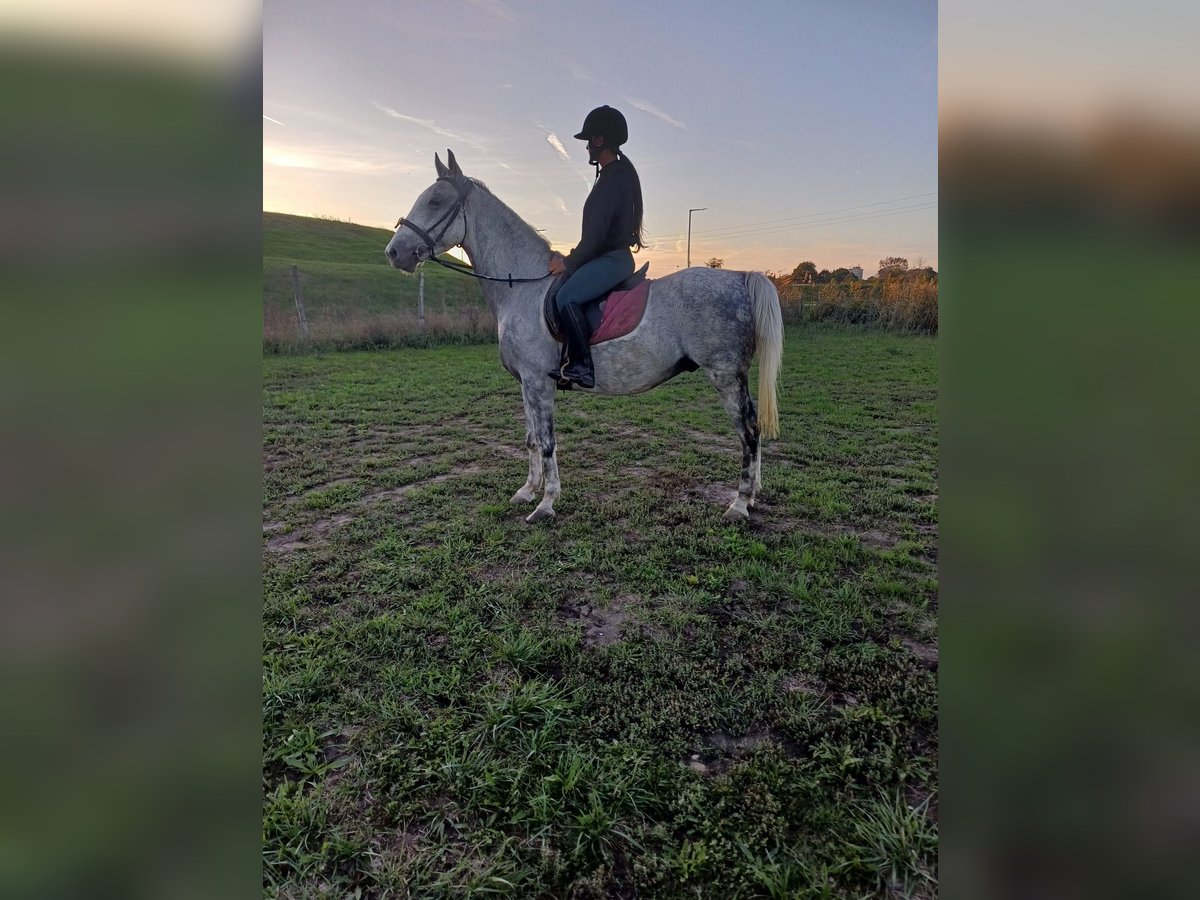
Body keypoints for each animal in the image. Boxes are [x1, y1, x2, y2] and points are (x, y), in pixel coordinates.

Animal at [386, 151, 787, 525]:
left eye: (436, 201)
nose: (394, 252)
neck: (523, 286)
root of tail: (739, 277)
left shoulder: (539, 382)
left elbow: (548, 442)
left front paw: (546, 503)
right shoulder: (526, 383)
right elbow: (531, 439)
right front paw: (527, 492)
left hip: (725, 375)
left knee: (749, 432)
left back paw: (739, 504)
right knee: (752, 429)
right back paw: (751, 497)